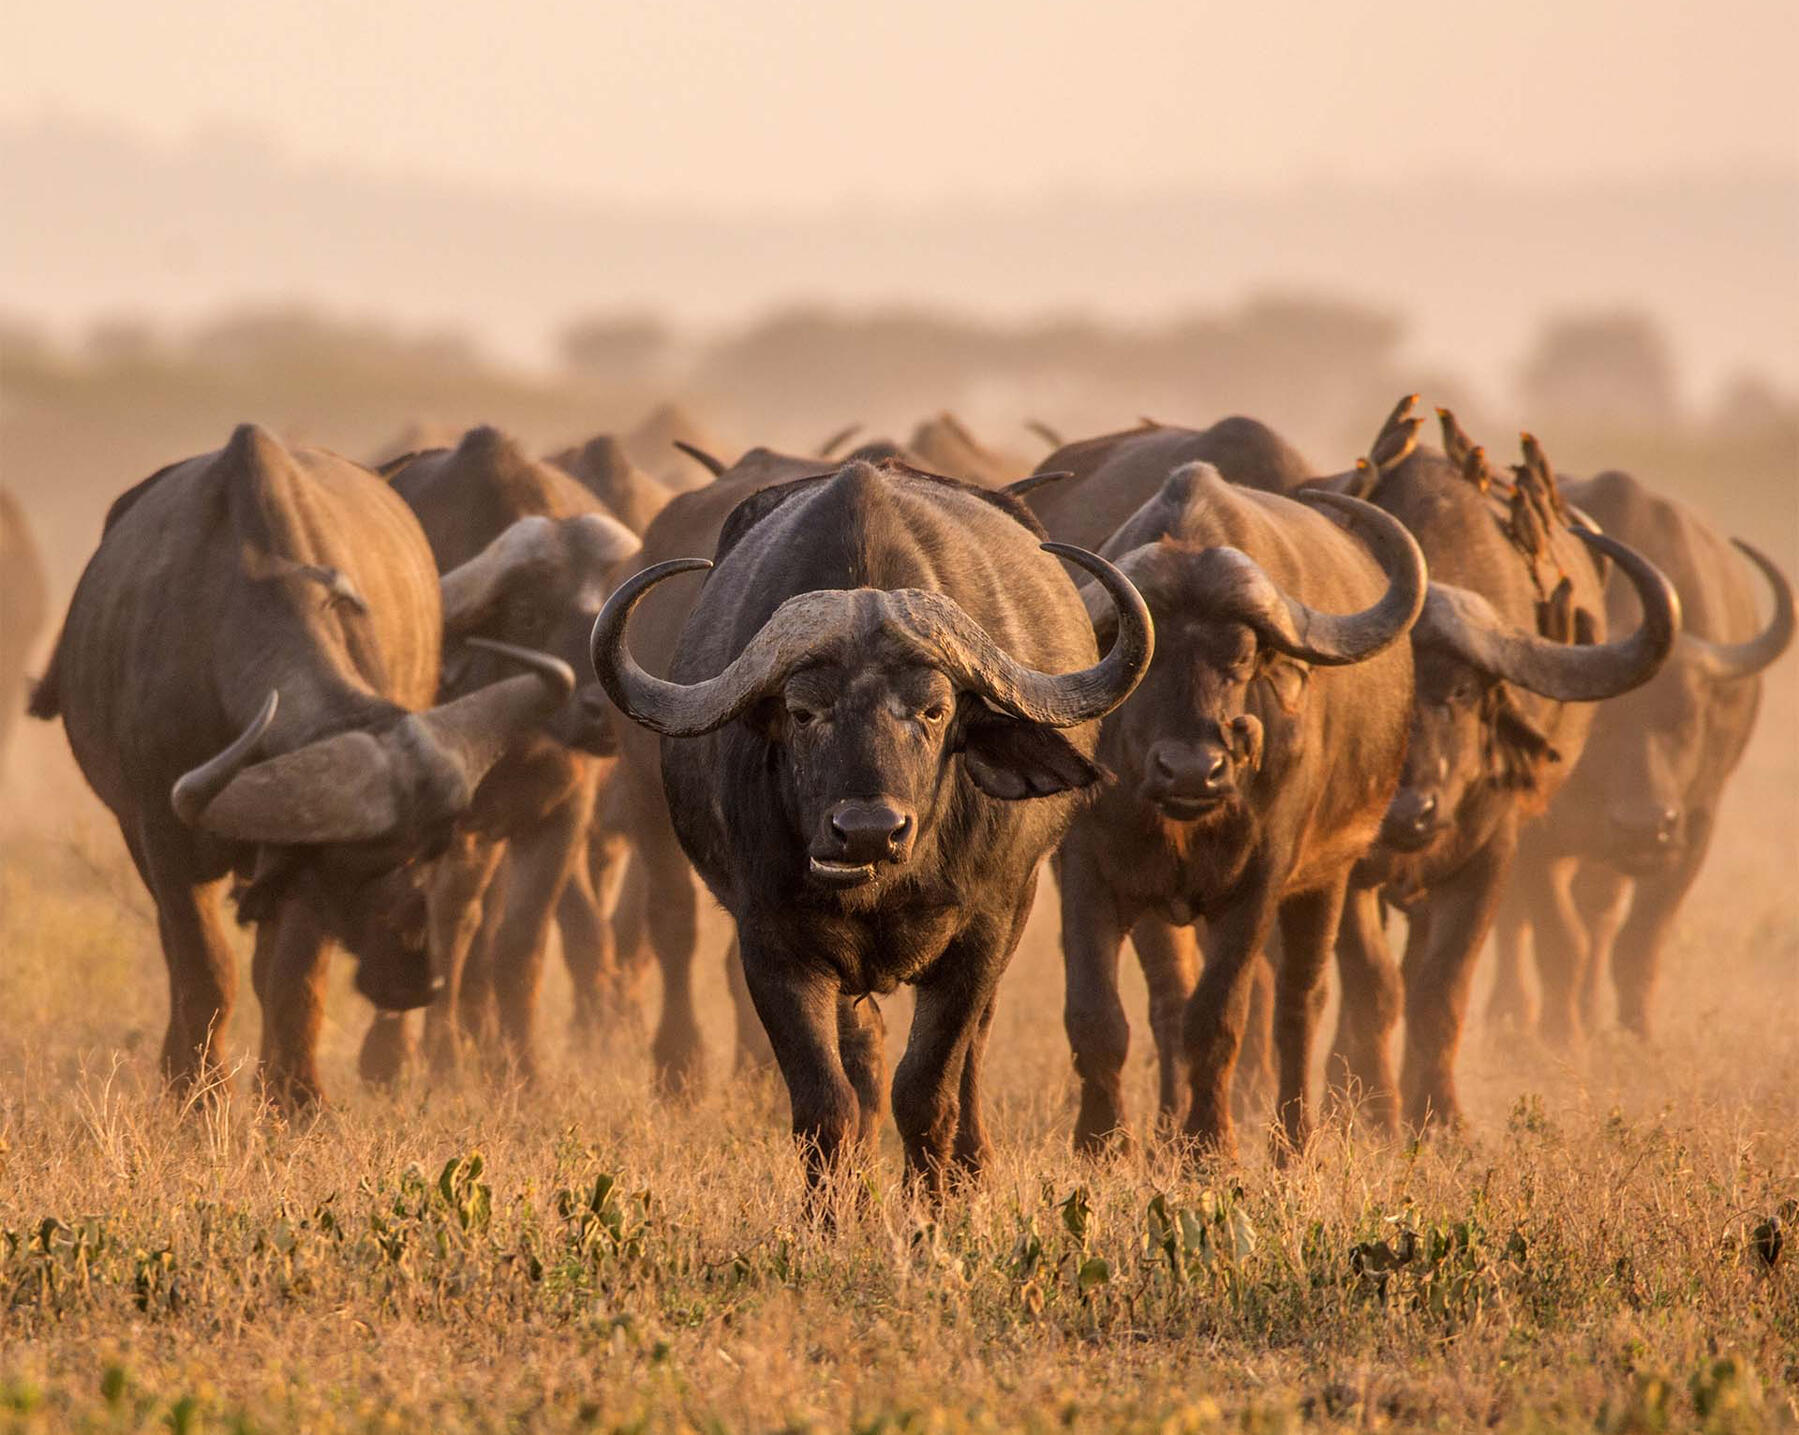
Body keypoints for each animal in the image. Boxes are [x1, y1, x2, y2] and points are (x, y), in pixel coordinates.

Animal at [30, 425, 574, 1104]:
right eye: (354, 863)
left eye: (429, 851)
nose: (417, 979)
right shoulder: (164, 834)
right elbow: (205, 967)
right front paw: (198, 1094)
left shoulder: (293, 873)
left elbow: (293, 974)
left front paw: (294, 1098)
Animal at [593, 459, 1153, 1195]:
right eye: (803, 711)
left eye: (935, 710)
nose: (867, 830)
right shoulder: (772, 945)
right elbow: (827, 1102)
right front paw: (837, 1210)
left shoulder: (980, 934)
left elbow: (928, 1092)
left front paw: (932, 1205)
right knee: (863, 1059)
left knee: (970, 1052)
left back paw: (971, 1165)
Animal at [1490, 469, 1793, 1043]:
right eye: (1600, 723)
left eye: (1687, 718)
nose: (1644, 826)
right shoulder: (1536, 835)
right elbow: (1557, 938)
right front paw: (1560, 1037)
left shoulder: (1695, 828)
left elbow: (1639, 941)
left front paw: (1638, 1035)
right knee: (1520, 922)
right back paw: (1514, 1015)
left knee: (1600, 910)